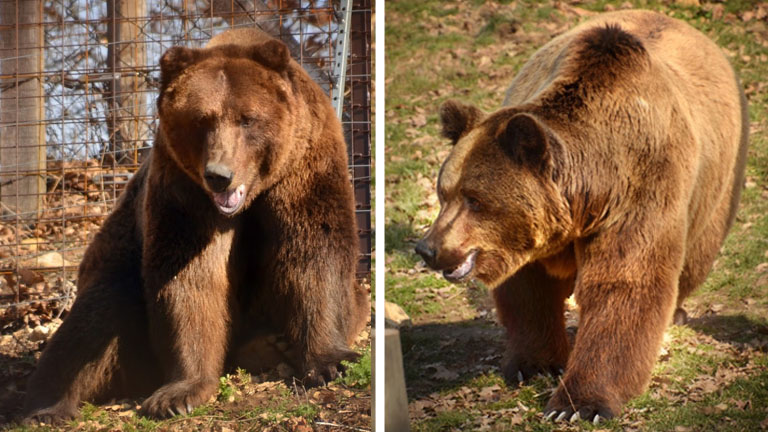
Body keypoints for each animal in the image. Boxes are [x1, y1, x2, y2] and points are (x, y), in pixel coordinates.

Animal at [22, 27, 370, 422]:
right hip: (116, 267)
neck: (252, 196)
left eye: (247, 118)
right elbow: (191, 277)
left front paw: (330, 361)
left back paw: (269, 344)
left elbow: (313, 250)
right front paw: (179, 394)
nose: (219, 175)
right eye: (202, 119)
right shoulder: (183, 190)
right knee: (95, 314)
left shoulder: (304, 167)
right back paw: (47, 408)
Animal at [416, 9, 748, 422]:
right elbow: (529, 289)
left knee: (696, 255)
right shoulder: (528, 238)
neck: (587, 198)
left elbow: (624, 284)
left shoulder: (642, 189)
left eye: (474, 199)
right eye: (444, 192)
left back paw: (678, 312)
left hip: (719, 180)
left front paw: (577, 405)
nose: (427, 248)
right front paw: (536, 364)